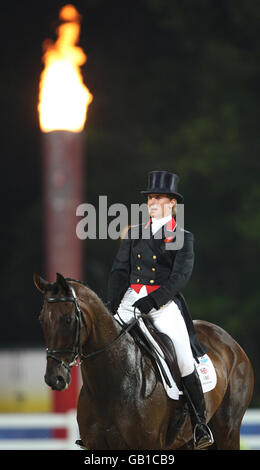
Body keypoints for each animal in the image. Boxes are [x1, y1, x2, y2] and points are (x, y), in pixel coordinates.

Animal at [34, 274, 254, 450]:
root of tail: (229, 340)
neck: (111, 383)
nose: (54, 378)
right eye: (42, 320)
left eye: (68, 319)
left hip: (227, 432)